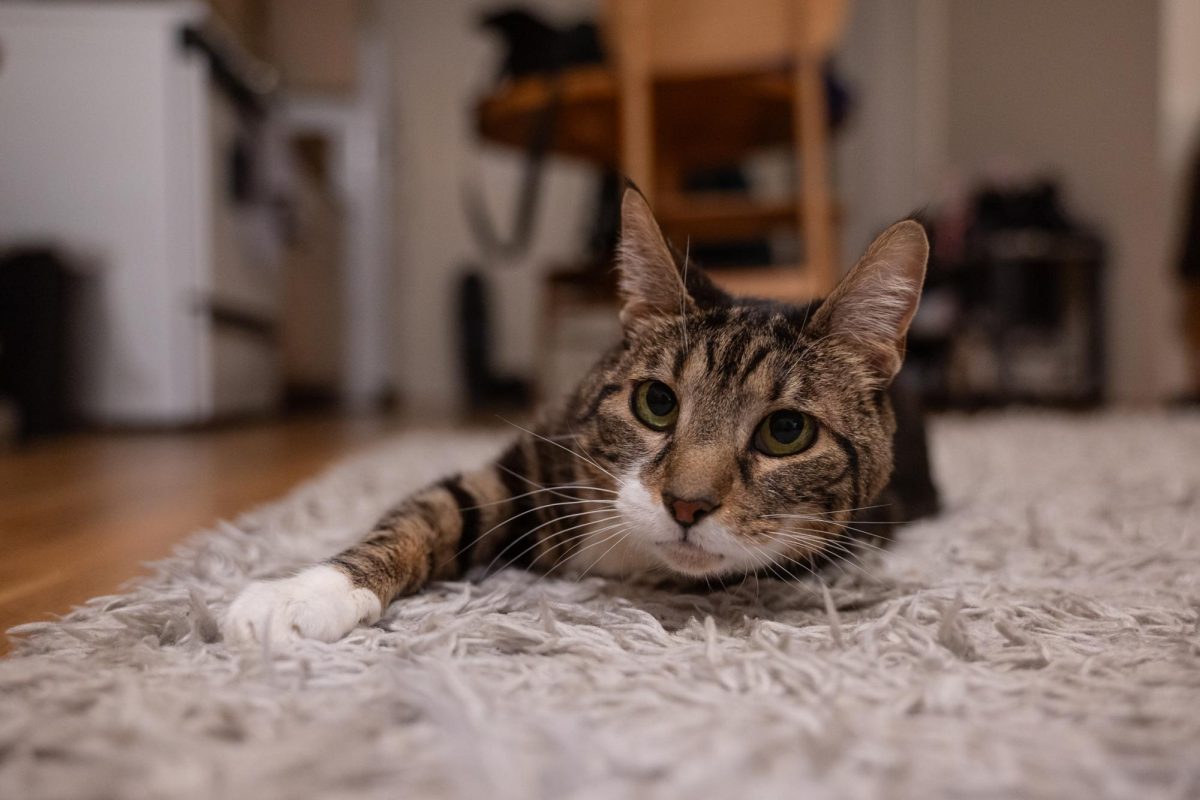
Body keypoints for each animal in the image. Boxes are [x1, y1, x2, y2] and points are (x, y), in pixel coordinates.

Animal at [229, 185, 931, 642]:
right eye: (656, 402)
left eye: (787, 431)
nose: (687, 505)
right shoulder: (525, 468)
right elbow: (427, 514)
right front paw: (303, 593)